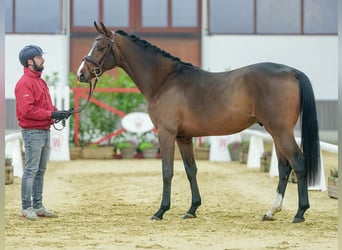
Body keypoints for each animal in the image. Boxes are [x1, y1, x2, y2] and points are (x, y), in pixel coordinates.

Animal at [77, 22, 320, 224]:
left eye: (101, 47)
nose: (81, 74)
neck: (164, 80)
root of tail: (292, 72)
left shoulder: (166, 133)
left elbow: (167, 171)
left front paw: (160, 211)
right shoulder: (184, 137)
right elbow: (190, 170)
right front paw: (192, 209)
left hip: (281, 131)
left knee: (298, 163)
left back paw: (300, 213)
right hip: (276, 132)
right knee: (284, 167)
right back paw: (271, 211)